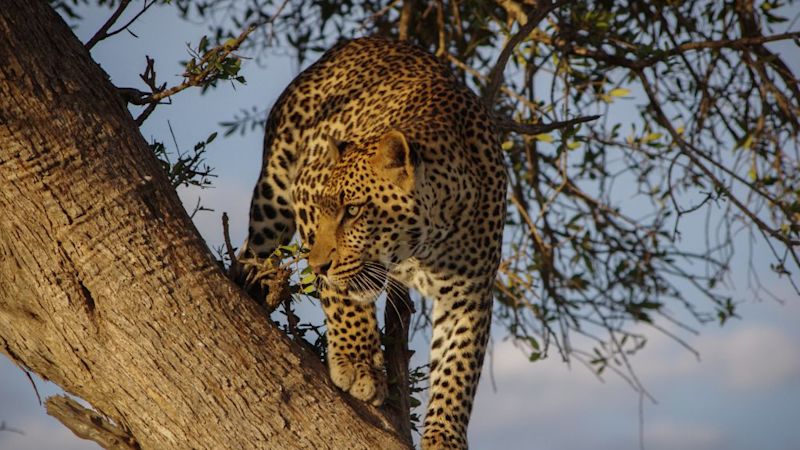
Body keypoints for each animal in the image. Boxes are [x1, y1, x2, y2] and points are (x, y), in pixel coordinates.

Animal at [241, 37, 506, 449]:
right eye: (326, 209)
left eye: (352, 211)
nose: (316, 266)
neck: (424, 245)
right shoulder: (306, 191)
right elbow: (342, 296)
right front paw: (357, 364)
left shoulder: (470, 293)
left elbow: (458, 366)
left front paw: (444, 436)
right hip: (273, 196)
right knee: (251, 253)